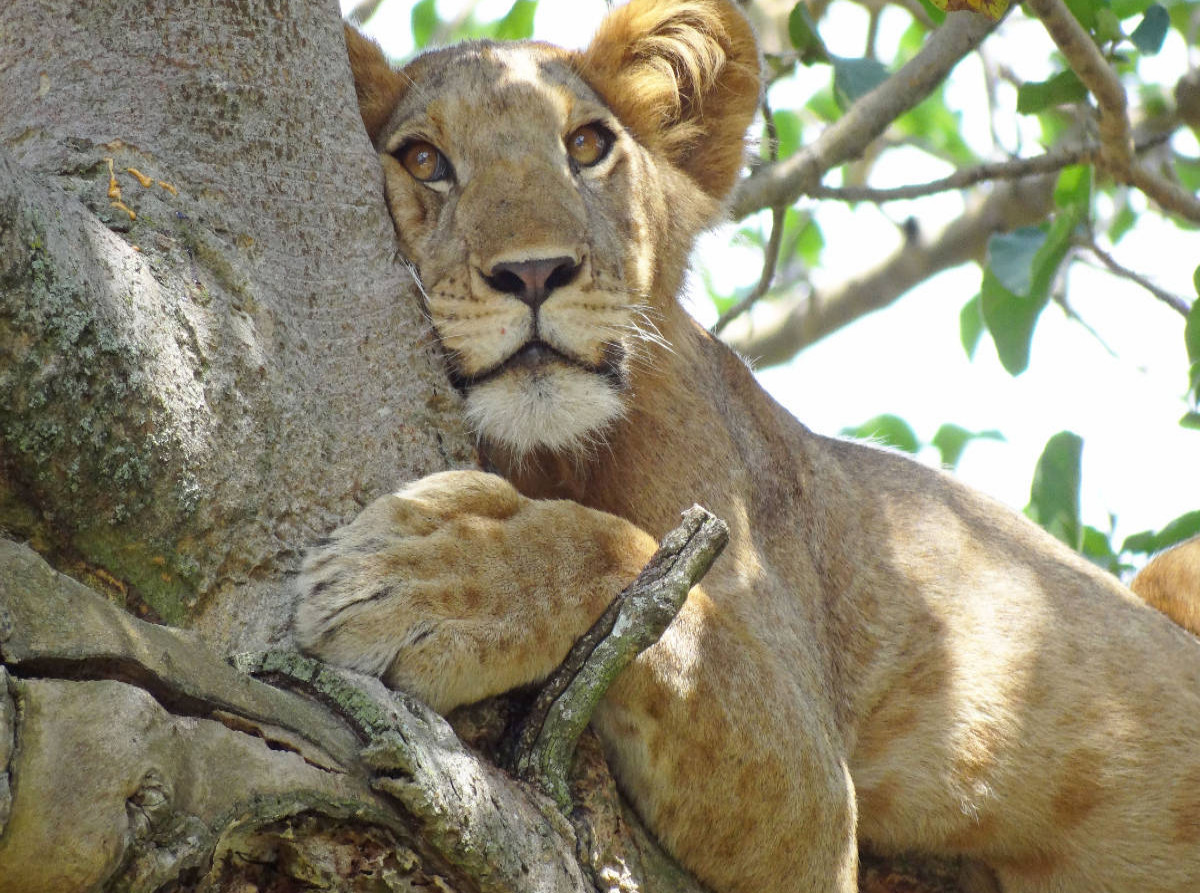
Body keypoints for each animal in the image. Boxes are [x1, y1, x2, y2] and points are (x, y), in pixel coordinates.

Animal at [290, 3, 1200, 888]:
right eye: (423, 158)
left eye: (585, 146)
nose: (536, 273)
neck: (549, 452)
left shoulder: (817, 808)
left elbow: (628, 564)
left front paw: (429, 576)